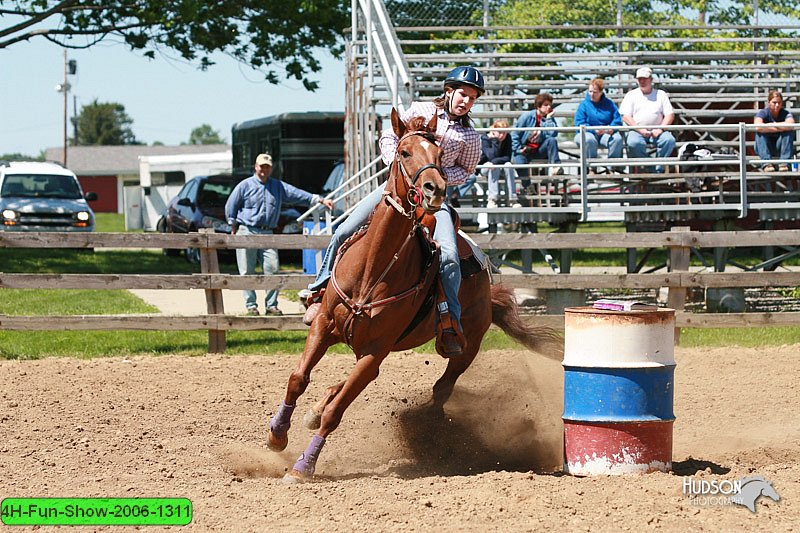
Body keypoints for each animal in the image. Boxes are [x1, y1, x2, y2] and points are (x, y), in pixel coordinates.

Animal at [266, 108, 560, 482]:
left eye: (440, 154)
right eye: (404, 152)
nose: (435, 189)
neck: (373, 268)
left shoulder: (375, 352)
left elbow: (338, 411)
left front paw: (303, 467)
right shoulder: (324, 326)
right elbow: (297, 378)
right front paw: (277, 434)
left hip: (466, 348)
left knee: (439, 391)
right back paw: (314, 410)